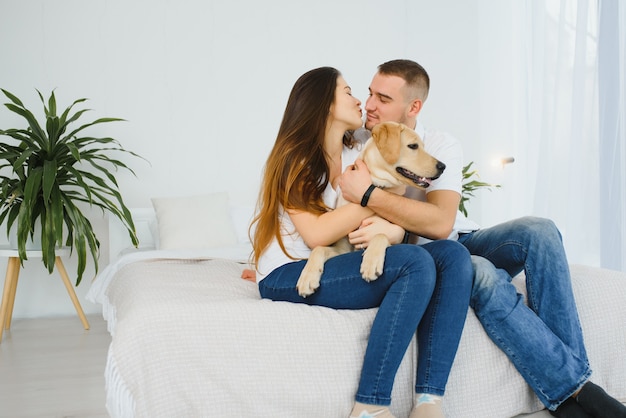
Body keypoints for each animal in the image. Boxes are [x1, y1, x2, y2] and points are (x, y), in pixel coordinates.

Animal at [296, 121, 444, 298]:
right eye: (413, 146)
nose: (443, 166)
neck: (376, 184)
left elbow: (381, 234)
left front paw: (371, 262)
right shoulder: (343, 248)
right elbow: (318, 248)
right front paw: (307, 277)